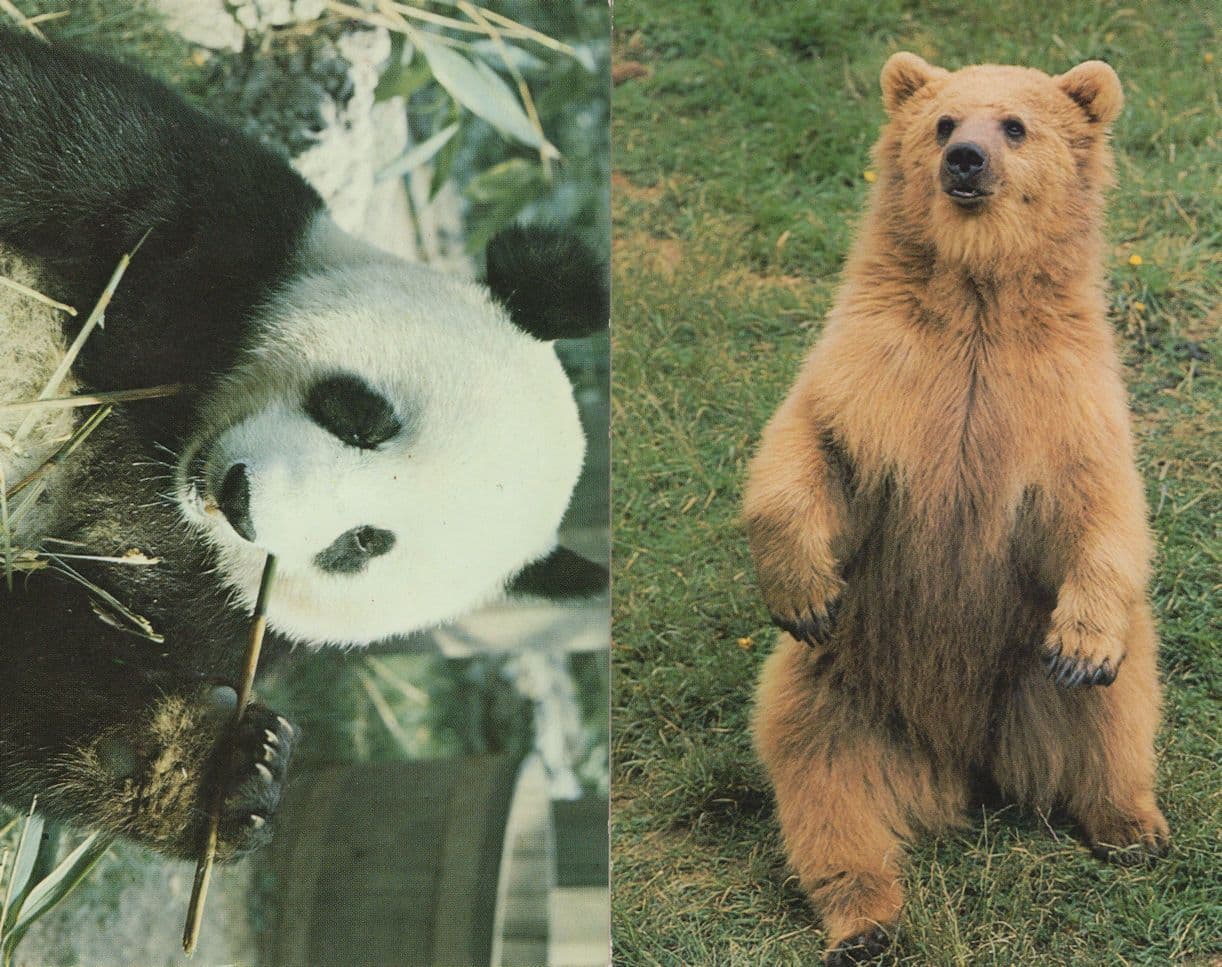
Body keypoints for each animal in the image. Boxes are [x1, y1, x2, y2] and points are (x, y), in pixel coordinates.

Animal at [0, 30, 606, 860]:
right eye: (364, 417)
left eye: (361, 542)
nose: (242, 500)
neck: (169, 454)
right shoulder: (225, 236)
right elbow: (62, 141)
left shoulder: (213, 600)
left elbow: (60, 678)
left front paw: (227, 777)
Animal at [744, 53, 1167, 965]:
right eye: (942, 121)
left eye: (1015, 124)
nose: (965, 159)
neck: (978, 296)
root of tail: (963, 764)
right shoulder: (877, 375)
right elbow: (804, 451)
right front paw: (805, 591)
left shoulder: (1061, 401)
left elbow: (1103, 510)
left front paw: (1084, 643)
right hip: (841, 687)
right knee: (824, 784)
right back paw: (865, 919)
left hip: (1028, 673)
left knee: (1117, 715)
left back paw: (1132, 827)